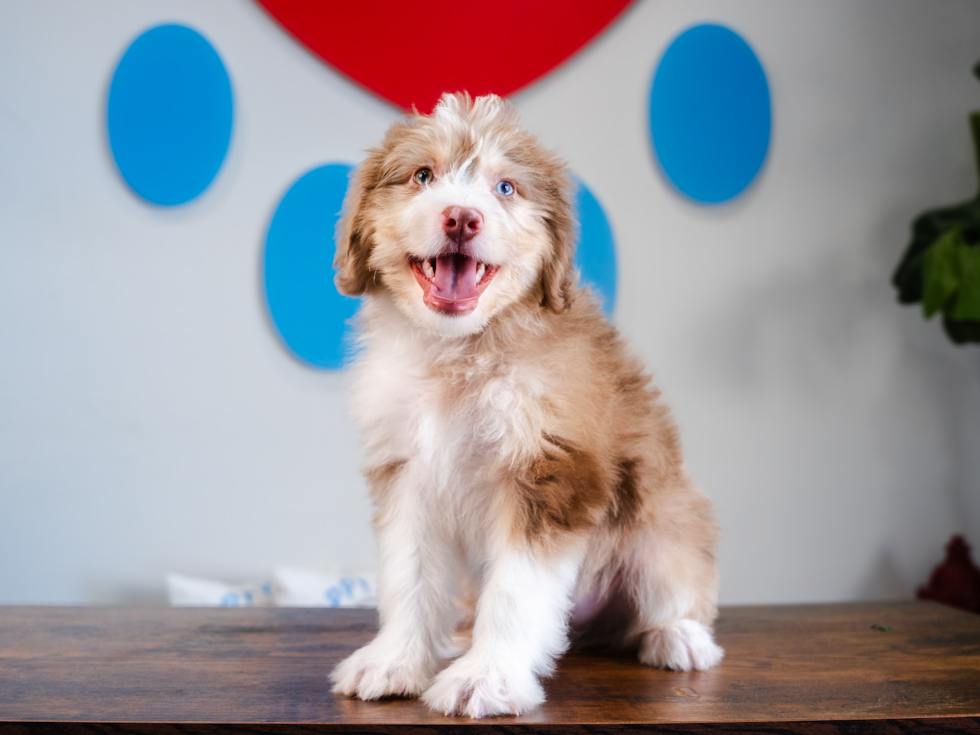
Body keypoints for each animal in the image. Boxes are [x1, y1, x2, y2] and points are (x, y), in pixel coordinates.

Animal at [330, 93, 720, 720]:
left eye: (506, 188)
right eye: (423, 176)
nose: (462, 217)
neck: (463, 351)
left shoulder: (551, 470)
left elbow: (516, 590)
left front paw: (487, 678)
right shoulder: (407, 471)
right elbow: (408, 574)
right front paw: (393, 661)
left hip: (666, 520)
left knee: (674, 584)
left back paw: (679, 636)